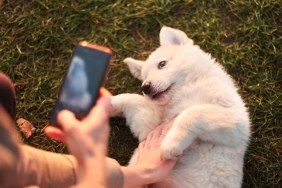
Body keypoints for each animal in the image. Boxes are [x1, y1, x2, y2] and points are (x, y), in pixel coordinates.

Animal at [110, 26, 251, 188]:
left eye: (162, 64)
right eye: (144, 78)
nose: (145, 87)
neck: (182, 92)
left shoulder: (237, 123)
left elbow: (191, 113)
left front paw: (171, 143)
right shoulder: (150, 127)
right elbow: (132, 98)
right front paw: (108, 102)